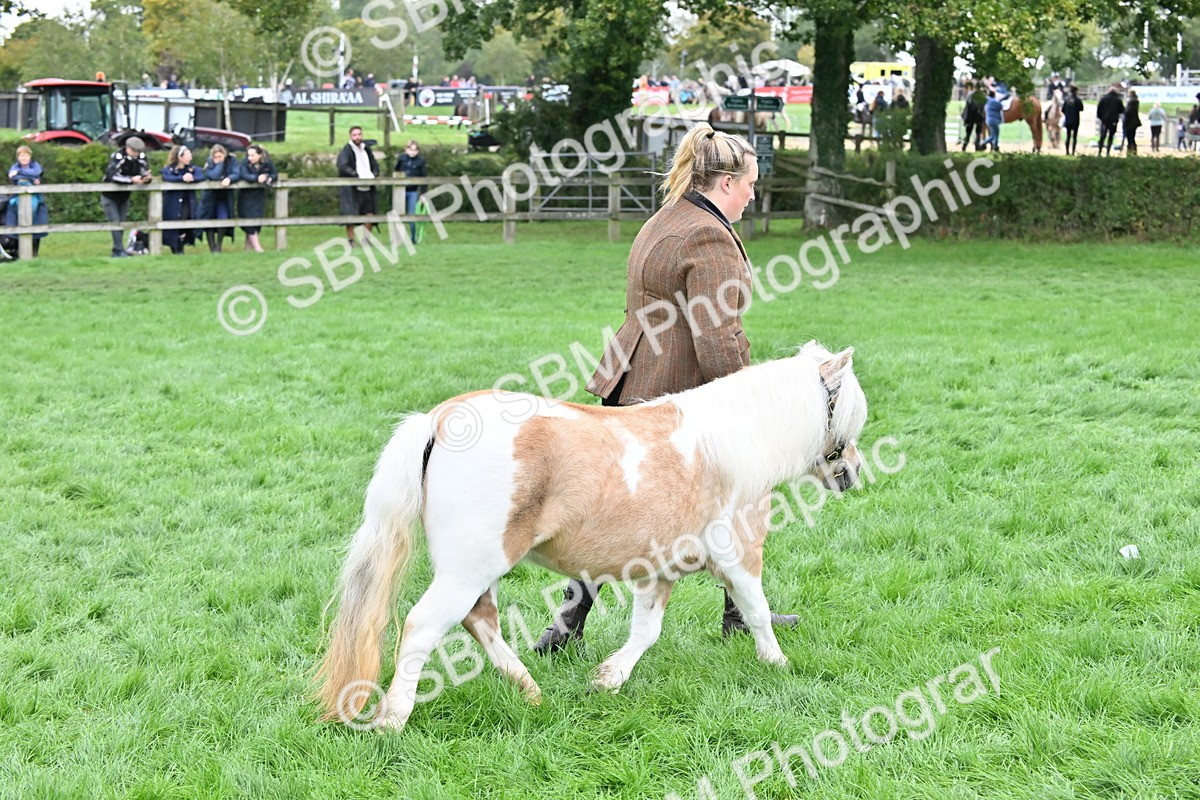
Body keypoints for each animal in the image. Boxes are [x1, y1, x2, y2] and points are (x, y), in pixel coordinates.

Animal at [317, 342, 869, 731]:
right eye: (841, 407)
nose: (853, 473)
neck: (731, 444)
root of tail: (440, 419)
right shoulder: (739, 555)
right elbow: (755, 610)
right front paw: (777, 664)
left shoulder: (659, 571)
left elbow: (646, 631)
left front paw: (608, 680)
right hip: (467, 568)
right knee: (424, 626)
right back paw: (392, 720)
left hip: (475, 571)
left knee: (480, 620)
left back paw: (530, 691)